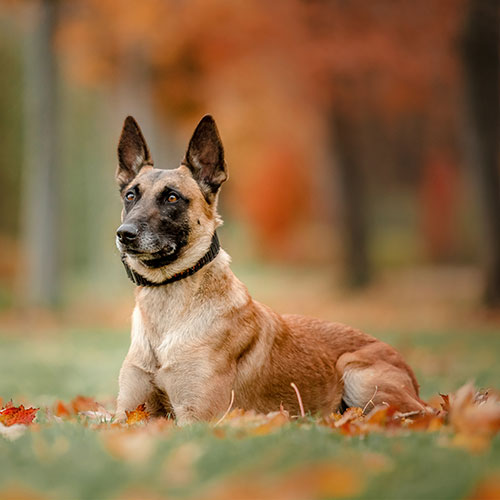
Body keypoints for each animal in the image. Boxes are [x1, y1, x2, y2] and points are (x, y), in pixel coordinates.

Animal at [113, 115, 426, 424]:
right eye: (130, 196)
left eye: (172, 198)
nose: (124, 234)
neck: (167, 311)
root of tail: (409, 370)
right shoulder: (126, 413)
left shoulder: (198, 417)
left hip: (358, 376)